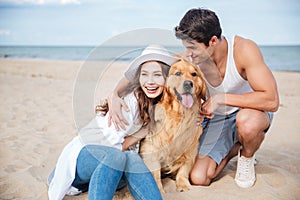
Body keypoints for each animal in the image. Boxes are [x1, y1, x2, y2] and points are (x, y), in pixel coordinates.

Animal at [140, 59, 206, 192]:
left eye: (194, 74)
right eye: (177, 73)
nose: (188, 84)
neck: (180, 115)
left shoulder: (191, 149)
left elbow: (184, 169)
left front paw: (183, 185)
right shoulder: (151, 148)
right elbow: (155, 173)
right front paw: (159, 188)